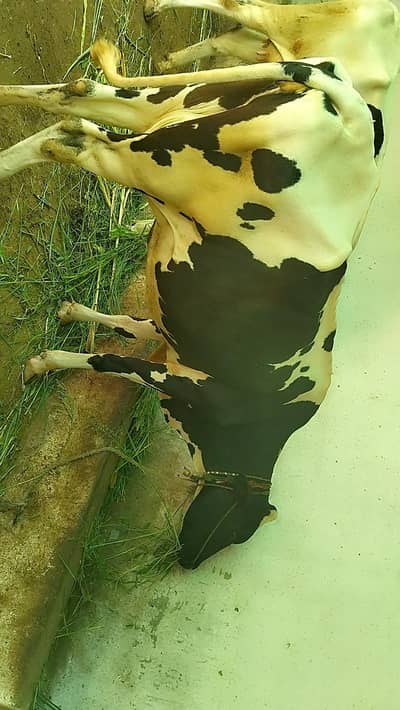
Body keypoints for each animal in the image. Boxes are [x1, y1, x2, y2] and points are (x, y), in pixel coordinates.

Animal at [0, 40, 383, 568]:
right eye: (234, 533)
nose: (186, 561)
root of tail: (352, 116)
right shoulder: (185, 382)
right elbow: (110, 362)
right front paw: (44, 362)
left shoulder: (169, 336)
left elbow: (129, 326)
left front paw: (71, 313)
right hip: (155, 161)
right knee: (77, 137)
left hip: (170, 110)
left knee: (72, 105)